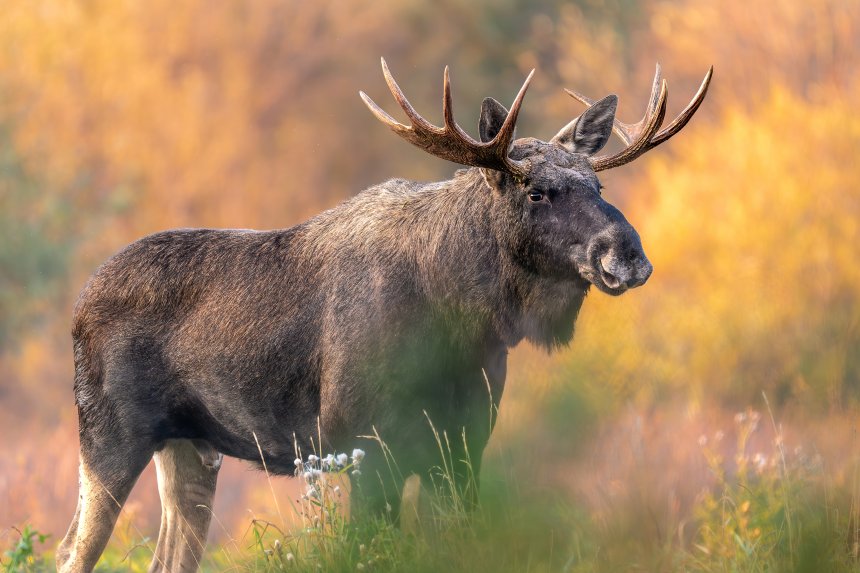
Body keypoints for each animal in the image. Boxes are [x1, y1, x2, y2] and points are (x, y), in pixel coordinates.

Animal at [57, 58, 711, 572]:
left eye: (599, 187)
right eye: (535, 192)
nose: (627, 254)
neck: (461, 329)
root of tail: (78, 306)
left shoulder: (464, 444)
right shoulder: (365, 445)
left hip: (190, 449)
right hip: (109, 436)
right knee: (71, 551)